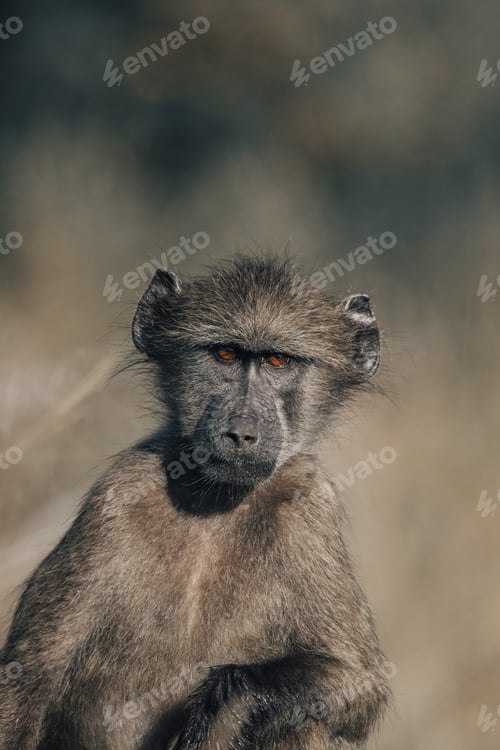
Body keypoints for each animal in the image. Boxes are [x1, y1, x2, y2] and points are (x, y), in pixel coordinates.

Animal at [0, 255, 392, 750]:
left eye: (279, 360)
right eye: (225, 355)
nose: (241, 433)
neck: (214, 503)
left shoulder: (310, 506)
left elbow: (360, 682)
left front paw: (228, 703)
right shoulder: (117, 495)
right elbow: (29, 676)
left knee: (301, 721)